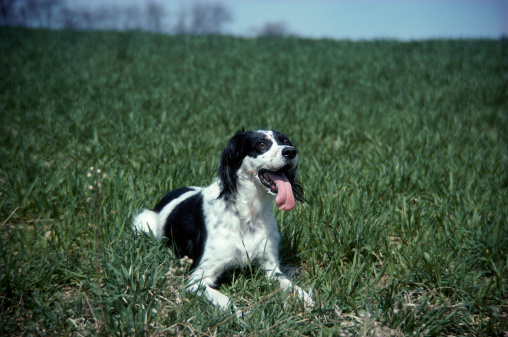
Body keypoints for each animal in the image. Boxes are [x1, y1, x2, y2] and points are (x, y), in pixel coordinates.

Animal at [133, 129, 314, 312]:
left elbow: (291, 285)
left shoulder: (271, 266)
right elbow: (227, 302)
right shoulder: (197, 278)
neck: (248, 212)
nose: (291, 152)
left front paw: (307, 299)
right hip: (142, 223)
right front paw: (241, 314)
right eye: (262, 144)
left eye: (286, 141)